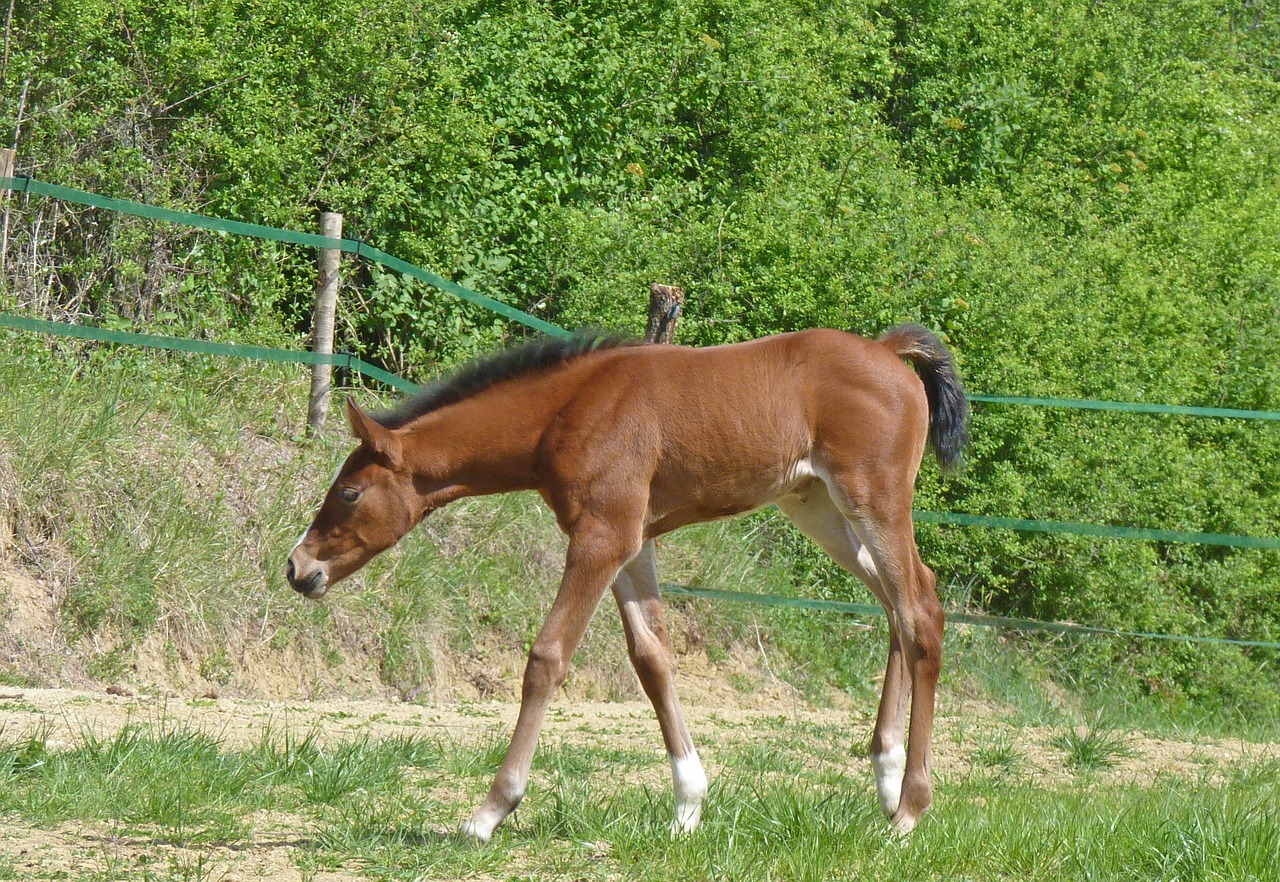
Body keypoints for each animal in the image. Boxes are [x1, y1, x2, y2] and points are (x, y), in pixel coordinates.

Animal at [288, 325, 967, 839]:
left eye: (348, 493)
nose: (298, 569)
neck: (567, 410)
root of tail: (887, 350)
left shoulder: (602, 537)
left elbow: (548, 657)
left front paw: (489, 812)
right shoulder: (631, 543)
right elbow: (652, 659)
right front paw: (688, 805)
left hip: (872, 500)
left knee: (921, 612)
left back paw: (909, 811)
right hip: (819, 507)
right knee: (899, 604)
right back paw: (885, 777)